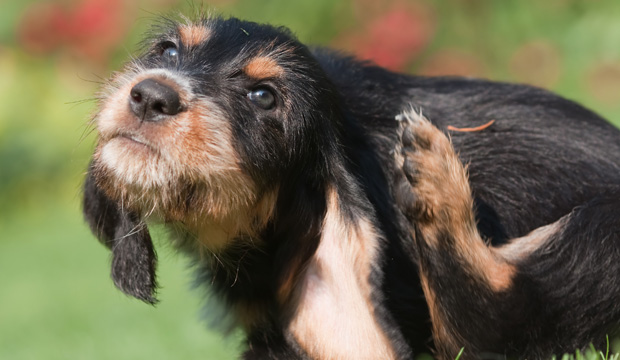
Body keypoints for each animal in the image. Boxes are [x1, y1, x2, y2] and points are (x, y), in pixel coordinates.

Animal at [83, 14, 620, 360]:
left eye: (264, 96)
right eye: (168, 50)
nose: (150, 95)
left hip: (601, 233)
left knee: (495, 317)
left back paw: (435, 178)